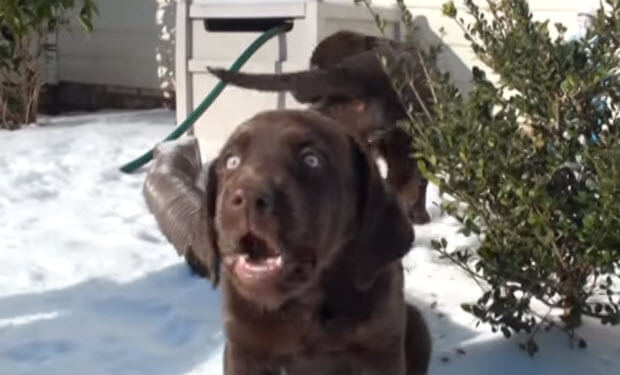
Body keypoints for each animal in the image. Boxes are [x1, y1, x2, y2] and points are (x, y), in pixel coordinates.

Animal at [143, 110, 432, 374]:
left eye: (312, 160)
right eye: (232, 161)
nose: (247, 197)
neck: (303, 305)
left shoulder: (379, 348)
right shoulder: (243, 350)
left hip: (417, 325)